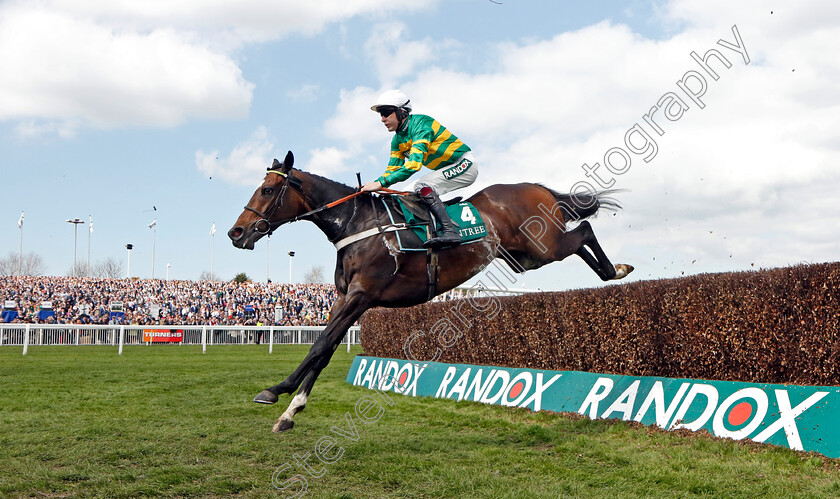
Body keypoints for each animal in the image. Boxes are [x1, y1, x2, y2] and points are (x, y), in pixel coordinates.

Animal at [226, 150, 632, 432]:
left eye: (267, 190)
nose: (236, 232)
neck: (358, 224)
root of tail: (536, 186)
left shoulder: (362, 296)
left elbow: (319, 345)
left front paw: (275, 391)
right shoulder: (345, 298)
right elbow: (324, 351)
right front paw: (290, 411)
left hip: (543, 246)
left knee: (584, 232)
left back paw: (617, 270)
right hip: (526, 257)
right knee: (578, 239)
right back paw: (613, 270)